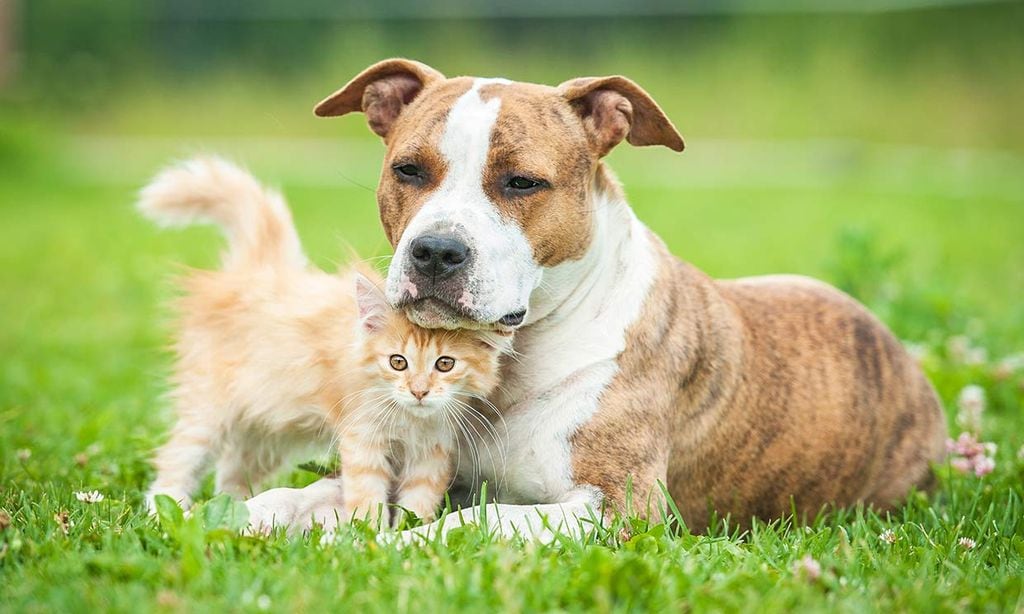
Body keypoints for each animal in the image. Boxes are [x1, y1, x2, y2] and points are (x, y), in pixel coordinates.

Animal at [140, 155, 507, 523]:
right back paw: (163, 510)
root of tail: (257, 270)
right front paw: (370, 531)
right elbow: (368, 496)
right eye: (397, 362)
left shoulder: (432, 452)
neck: (409, 419)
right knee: (177, 460)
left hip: (264, 427)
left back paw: (234, 507)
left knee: (231, 471)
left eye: (445, 364)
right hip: (209, 409)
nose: (419, 391)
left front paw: (408, 530)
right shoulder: (362, 438)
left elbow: (417, 503)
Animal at [243, 57, 946, 536]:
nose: (436, 252)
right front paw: (242, 515)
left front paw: (398, 546)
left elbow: (475, 522)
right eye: (408, 170)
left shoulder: (618, 507)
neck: (512, 360)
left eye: (523, 182)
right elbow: (298, 496)